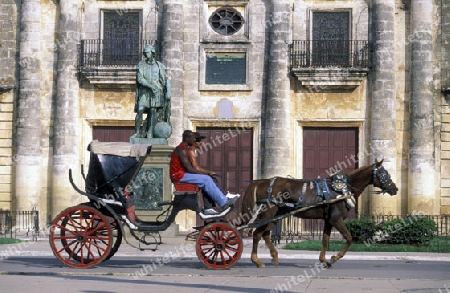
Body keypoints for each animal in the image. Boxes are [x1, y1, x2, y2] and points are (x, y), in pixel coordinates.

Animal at [241, 159, 400, 268]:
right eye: (384, 174)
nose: (395, 188)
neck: (343, 190)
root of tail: (262, 182)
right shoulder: (336, 220)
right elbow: (349, 238)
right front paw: (334, 258)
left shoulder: (329, 220)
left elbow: (325, 240)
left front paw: (324, 260)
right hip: (268, 214)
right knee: (257, 234)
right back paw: (257, 261)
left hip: (274, 216)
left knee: (265, 235)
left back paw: (274, 256)